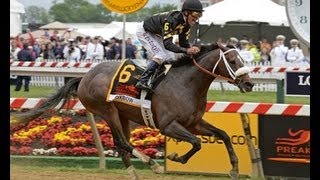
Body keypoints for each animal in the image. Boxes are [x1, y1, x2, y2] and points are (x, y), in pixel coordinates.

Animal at [12, 43, 254, 180]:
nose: (249, 84)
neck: (187, 84)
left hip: (124, 116)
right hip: (107, 110)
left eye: (243, 58)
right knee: (121, 142)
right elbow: (196, 143)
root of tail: (85, 77)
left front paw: (234, 169)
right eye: (232, 60)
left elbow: (222, 135)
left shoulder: (193, 123)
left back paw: (134, 172)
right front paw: (175, 157)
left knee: (121, 145)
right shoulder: (168, 126)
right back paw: (152, 164)